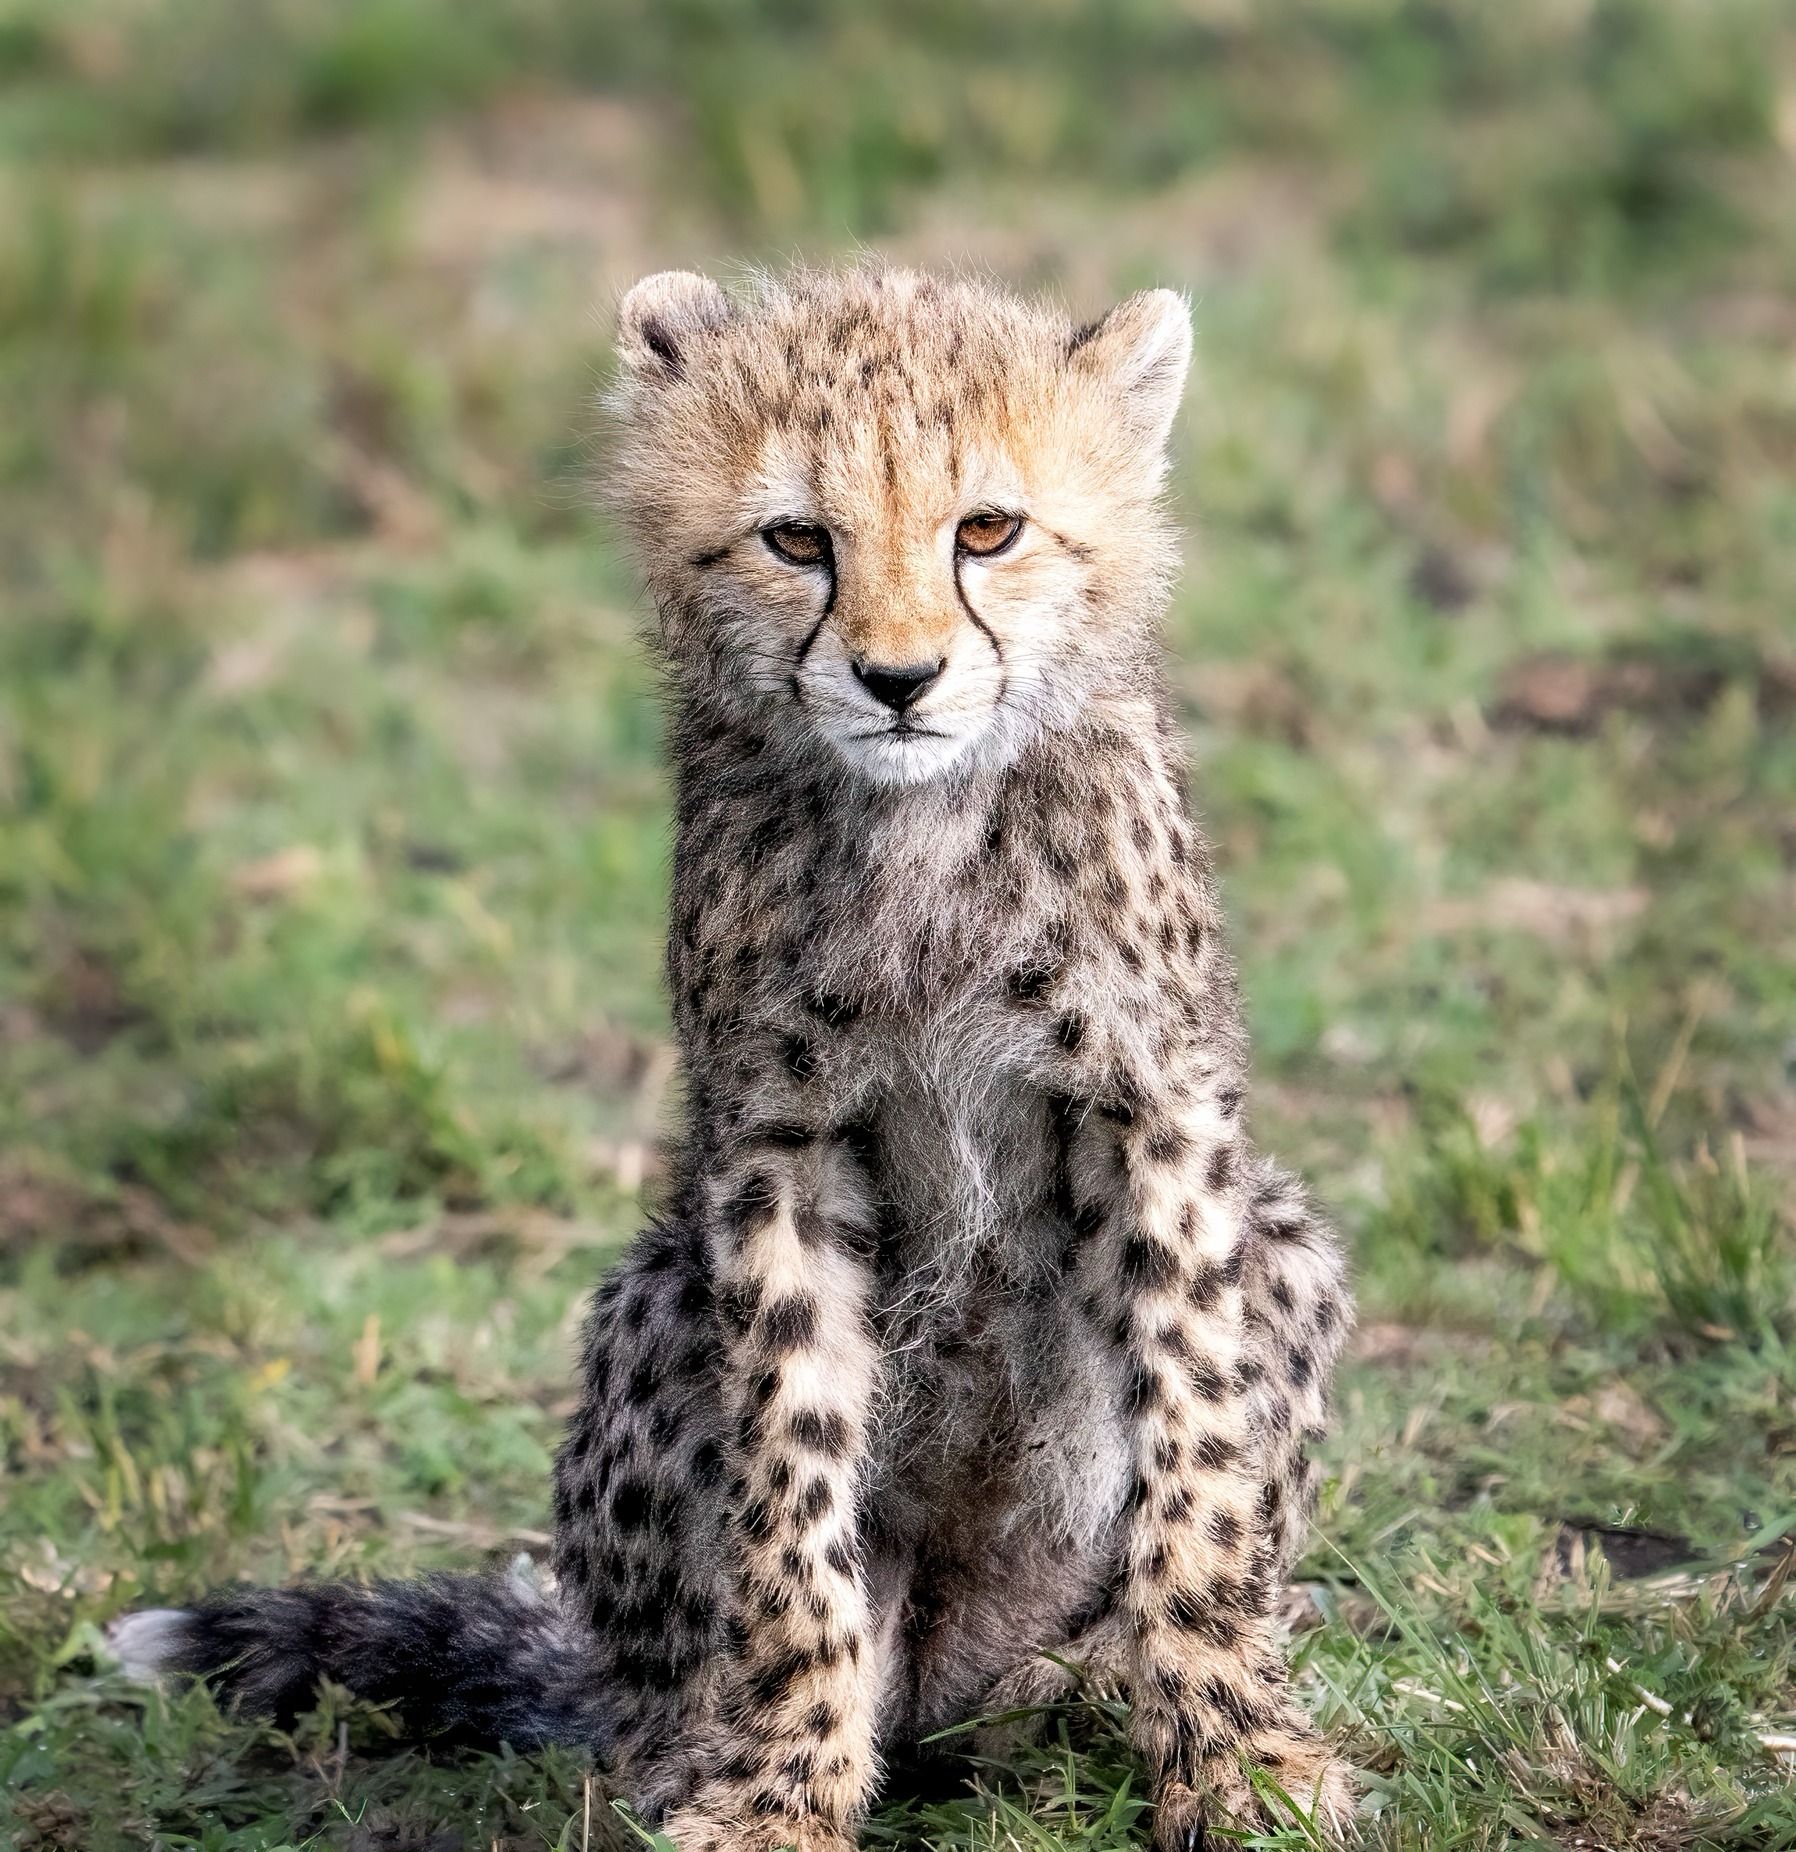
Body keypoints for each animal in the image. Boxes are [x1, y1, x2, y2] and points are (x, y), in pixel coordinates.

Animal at [111, 264, 1356, 1851]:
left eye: (988, 529)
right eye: (796, 539)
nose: (897, 679)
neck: (919, 822)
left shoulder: (1152, 1117)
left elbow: (1196, 1458)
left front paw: (1237, 1757)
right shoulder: (777, 1147)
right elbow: (789, 1485)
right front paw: (778, 1790)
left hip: (1282, 1248)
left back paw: (1087, 1685)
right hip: (655, 1298)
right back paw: (704, 1742)